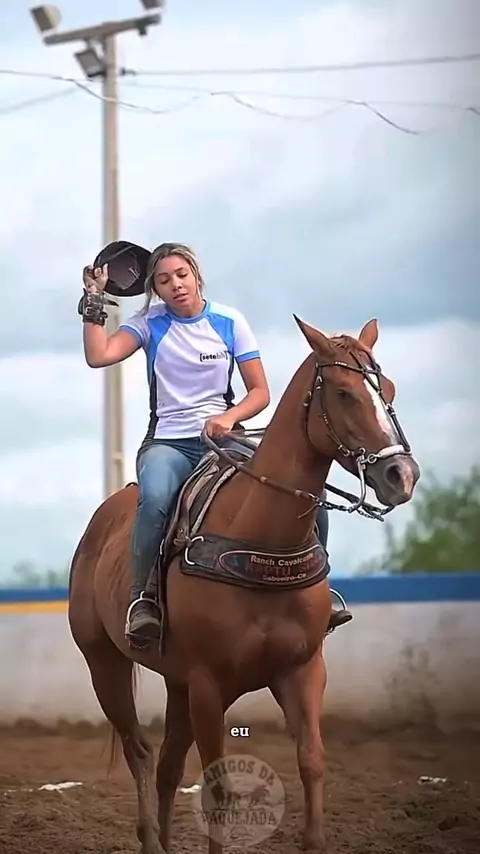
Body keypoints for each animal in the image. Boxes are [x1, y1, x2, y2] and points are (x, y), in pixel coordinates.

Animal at [68, 316, 420, 854]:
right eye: (343, 393)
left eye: (391, 389)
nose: (402, 475)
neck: (259, 533)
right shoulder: (209, 684)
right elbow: (218, 788)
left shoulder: (302, 670)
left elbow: (311, 762)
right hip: (104, 664)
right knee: (140, 752)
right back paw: (150, 838)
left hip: (176, 683)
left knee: (168, 764)